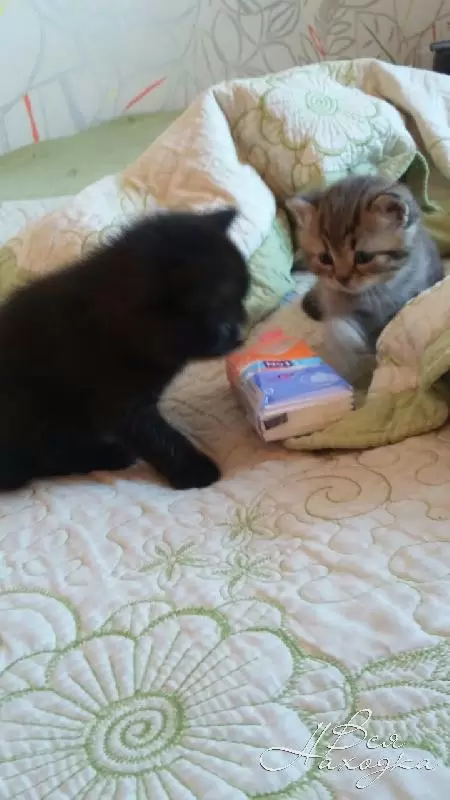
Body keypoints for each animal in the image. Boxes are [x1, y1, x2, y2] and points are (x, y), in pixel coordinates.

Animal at [0, 207, 249, 492]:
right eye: (221, 308)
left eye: (242, 299)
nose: (242, 333)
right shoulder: (119, 400)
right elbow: (159, 437)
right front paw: (195, 471)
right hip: (30, 407)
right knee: (37, 461)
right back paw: (108, 454)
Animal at [286, 176, 443, 383]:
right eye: (325, 258)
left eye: (363, 257)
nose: (342, 278)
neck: (373, 293)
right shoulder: (339, 306)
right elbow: (340, 328)